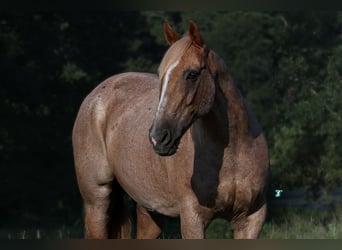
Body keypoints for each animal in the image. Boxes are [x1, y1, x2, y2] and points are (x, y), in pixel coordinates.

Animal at [73, 20, 270, 239]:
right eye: (161, 74)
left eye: (192, 74)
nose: (158, 138)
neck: (233, 153)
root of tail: (95, 96)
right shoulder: (193, 219)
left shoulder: (250, 220)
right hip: (97, 199)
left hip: (149, 210)